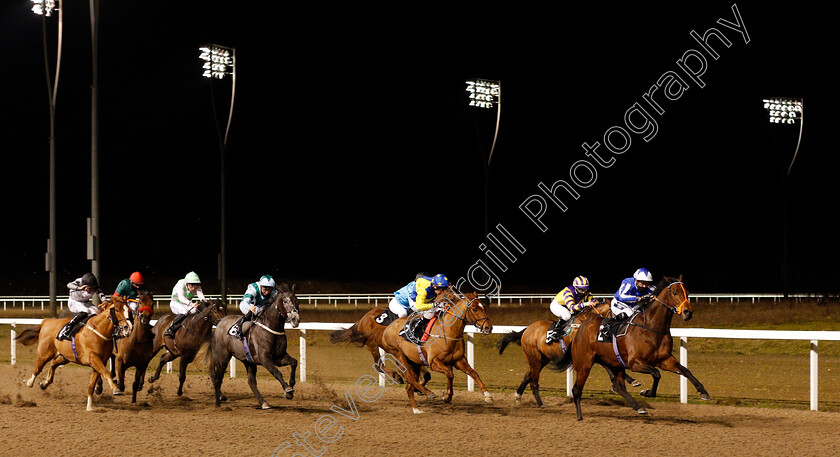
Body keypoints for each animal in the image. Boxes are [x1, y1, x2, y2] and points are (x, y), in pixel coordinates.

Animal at [572, 274, 708, 420]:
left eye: (687, 292)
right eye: (675, 292)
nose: (688, 312)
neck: (651, 328)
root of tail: (582, 325)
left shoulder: (665, 360)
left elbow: (685, 371)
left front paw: (703, 392)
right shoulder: (634, 363)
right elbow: (656, 373)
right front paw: (647, 392)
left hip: (614, 362)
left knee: (619, 387)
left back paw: (638, 407)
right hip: (584, 363)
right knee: (577, 389)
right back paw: (579, 416)